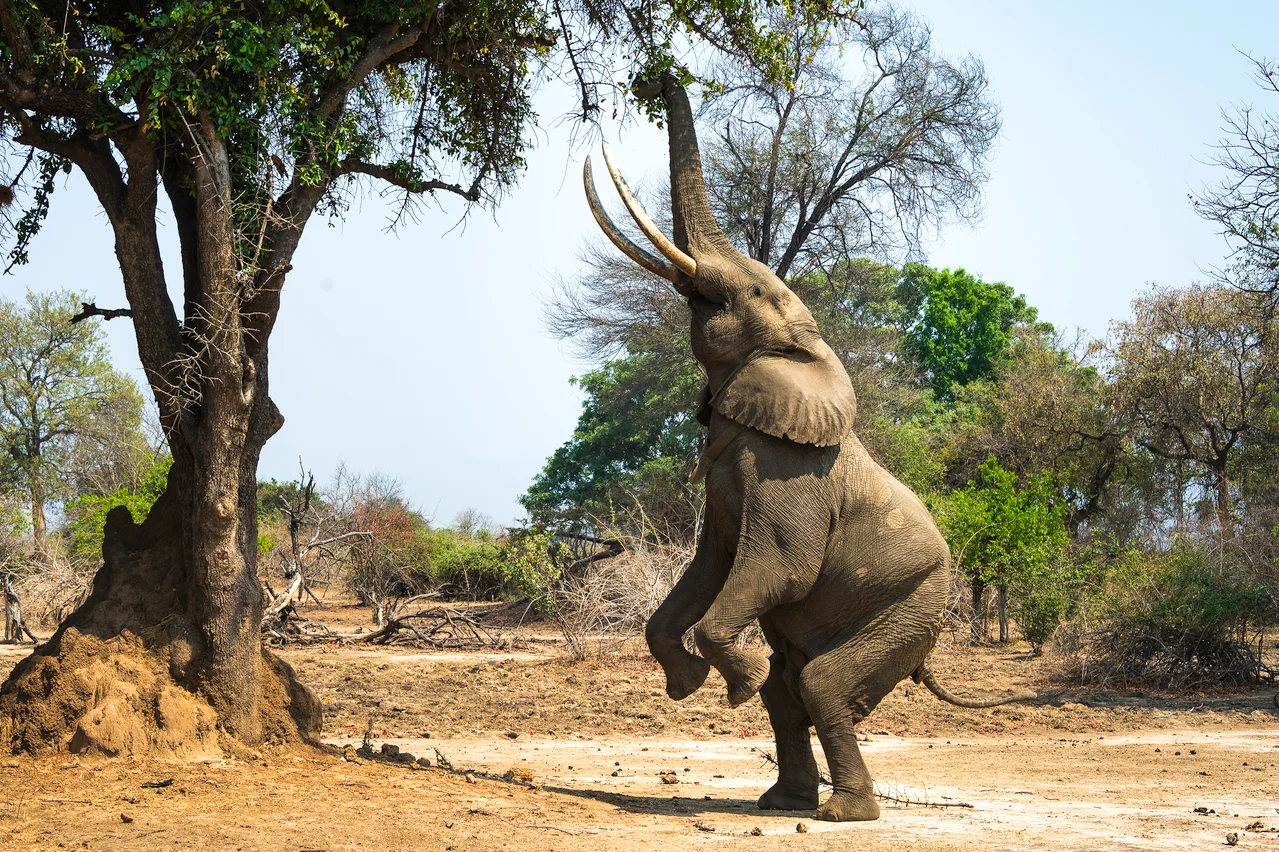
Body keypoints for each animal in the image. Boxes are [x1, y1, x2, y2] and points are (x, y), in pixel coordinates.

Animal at [585, 76, 1033, 818]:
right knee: (790, 691)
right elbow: (708, 568)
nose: (653, 80)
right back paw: (782, 801)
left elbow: (779, 570)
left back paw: (840, 812)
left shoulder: (786, 474)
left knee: (822, 683)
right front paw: (687, 684)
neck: (804, 354)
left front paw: (728, 684)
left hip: (910, 605)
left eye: (750, 291)